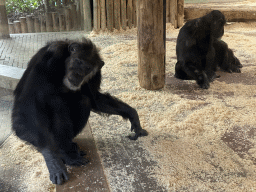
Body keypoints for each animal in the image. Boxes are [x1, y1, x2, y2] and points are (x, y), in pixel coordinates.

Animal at [11, 38, 148, 184]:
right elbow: (27, 105)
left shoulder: (95, 75)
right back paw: (64, 154)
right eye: (78, 62)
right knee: (55, 102)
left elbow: (95, 99)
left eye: (87, 68)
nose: (78, 75)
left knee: (84, 100)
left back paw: (70, 148)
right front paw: (52, 160)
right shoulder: (48, 57)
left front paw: (133, 116)